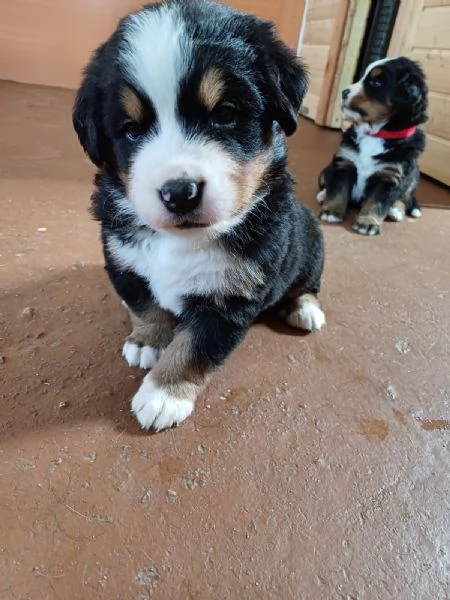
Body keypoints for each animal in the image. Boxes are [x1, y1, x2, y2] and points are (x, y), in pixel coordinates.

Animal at [72, 0, 326, 432]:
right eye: (131, 130)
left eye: (224, 114)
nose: (179, 193)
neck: (181, 241)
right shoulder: (123, 258)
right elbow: (145, 305)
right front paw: (148, 341)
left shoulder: (231, 295)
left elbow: (194, 348)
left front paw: (163, 394)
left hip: (311, 244)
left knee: (307, 283)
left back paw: (305, 308)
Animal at [318, 56, 428, 234]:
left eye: (376, 83)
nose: (344, 92)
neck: (375, 134)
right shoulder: (344, 163)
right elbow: (338, 191)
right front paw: (331, 212)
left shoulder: (390, 176)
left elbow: (377, 203)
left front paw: (367, 222)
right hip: (325, 170)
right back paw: (322, 195)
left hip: (413, 176)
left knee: (406, 198)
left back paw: (396, 210)